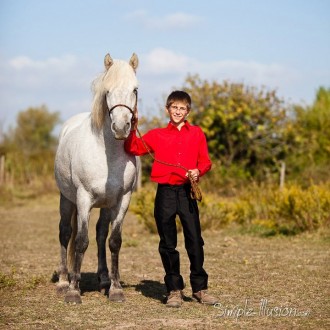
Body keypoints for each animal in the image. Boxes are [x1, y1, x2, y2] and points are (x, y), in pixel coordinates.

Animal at [54, 52, 139, 302]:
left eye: (135, 89)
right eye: (107, 91)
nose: (120, 127)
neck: (107, 154)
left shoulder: (122, 200)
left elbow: (114, 241)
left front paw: (116, 289)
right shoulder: (84, 199)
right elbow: (81, 241)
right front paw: (73, 291)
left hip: (106, 205)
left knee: (101, 234)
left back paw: (103, 280)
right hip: (66, 199)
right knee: (65, 233)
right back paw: (64, 281)